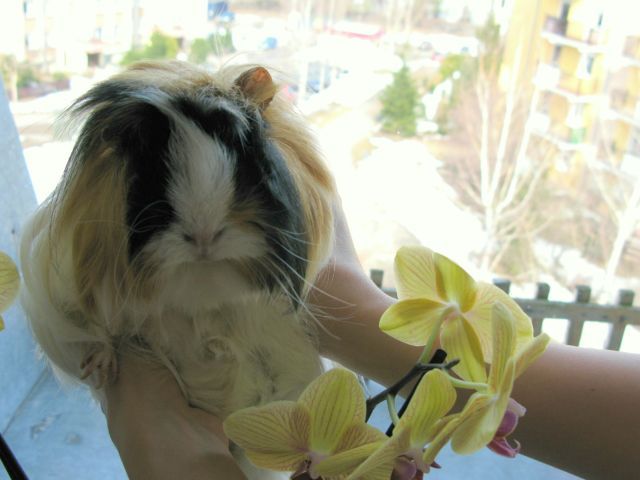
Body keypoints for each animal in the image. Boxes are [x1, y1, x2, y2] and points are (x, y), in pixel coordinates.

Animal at [20, 61, 337, 479]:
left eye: (244, 157)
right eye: (151, 167)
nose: (203, 234)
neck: (202, 297)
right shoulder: (54, 297)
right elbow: (89, 334)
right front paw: (101, 369)